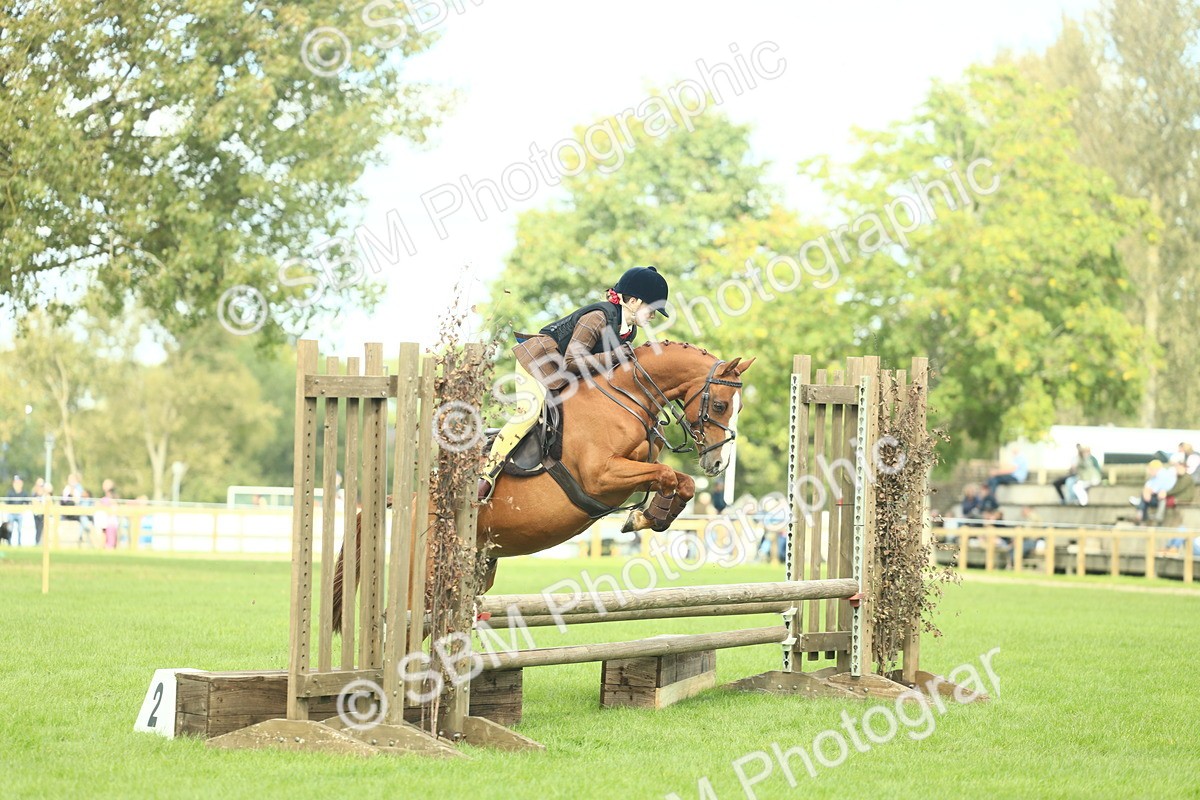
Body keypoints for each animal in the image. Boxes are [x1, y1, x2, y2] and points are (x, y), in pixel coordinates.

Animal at [331, 339, 755, 629]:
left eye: (738, 407)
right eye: (719, 405)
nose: (718, 462)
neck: (626, 396)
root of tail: (408, 500)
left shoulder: (637, 466)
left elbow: (681, 481)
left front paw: (650, 516)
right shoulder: (603, 476)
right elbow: (668, 475)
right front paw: (646, 517)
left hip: (478, 568)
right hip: (430, 569)